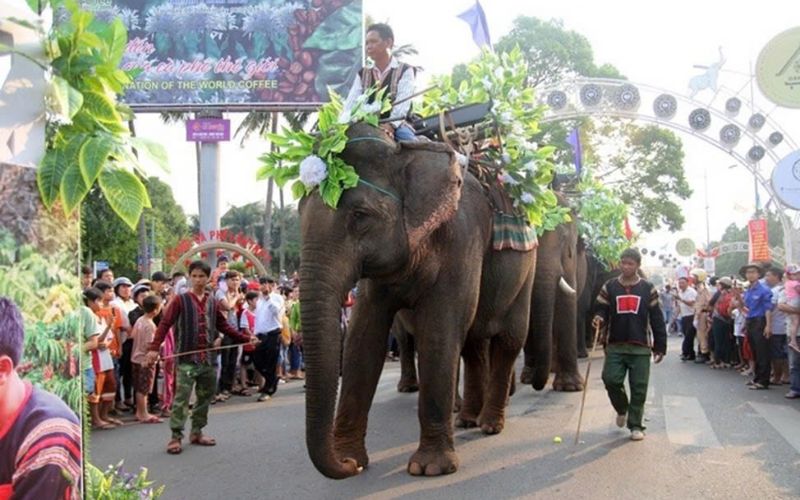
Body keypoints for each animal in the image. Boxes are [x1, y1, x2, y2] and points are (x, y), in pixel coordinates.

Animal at [300, 123, 536, 478]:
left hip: (528, 267)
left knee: (508, 339)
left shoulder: (462, 239)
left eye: (360, 215)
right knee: (473, 342)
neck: (406, 151)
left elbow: (439, 332)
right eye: (299, 213)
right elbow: (362, 338)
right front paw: (354, 458)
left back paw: (490, 425)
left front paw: (430, 468)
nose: (345, 466)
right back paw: (467, 419)